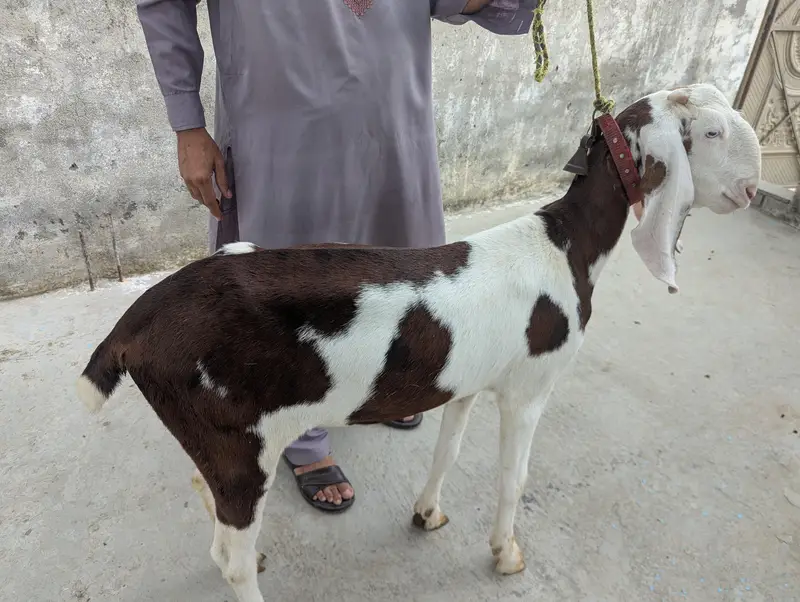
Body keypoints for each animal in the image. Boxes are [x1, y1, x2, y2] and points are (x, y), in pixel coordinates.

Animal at [76, 83, 761, 602]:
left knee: (217, 523)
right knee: (233, 555)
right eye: (711, 134)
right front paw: (505, 553)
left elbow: (446, 451)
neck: (566, 245)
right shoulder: (529, 389)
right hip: (239, 443)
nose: (753, 191)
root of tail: (133, 327)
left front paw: (428, 514)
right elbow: (513, 477)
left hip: (215, 441)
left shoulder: (467, 381)